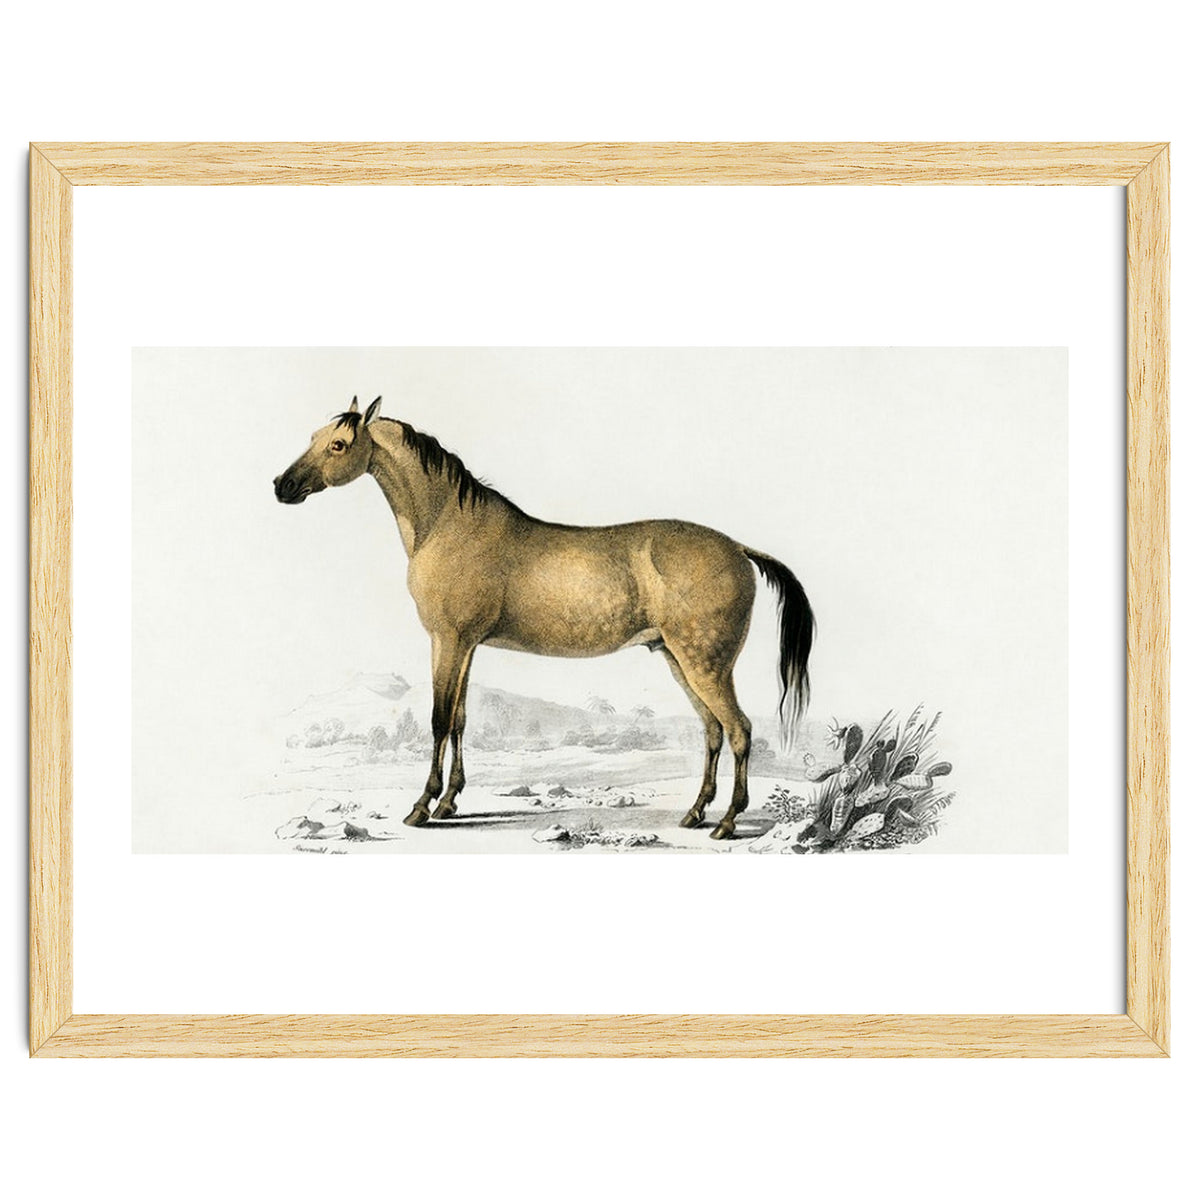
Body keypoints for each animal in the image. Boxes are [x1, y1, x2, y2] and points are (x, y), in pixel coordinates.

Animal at [274, 396, 815, 839]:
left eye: (339, 444)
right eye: (314, 437)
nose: (282, 486)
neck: (449, 524)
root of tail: (738, 548)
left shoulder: (447, 640)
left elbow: (438, 720)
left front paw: (422, 807)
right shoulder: (465, 646)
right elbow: (461, 720)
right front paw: (450, 802)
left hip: (705, 664)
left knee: (739, 729)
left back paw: (727, 822)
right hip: (679, 660)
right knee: (713, 731)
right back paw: (696, 813)